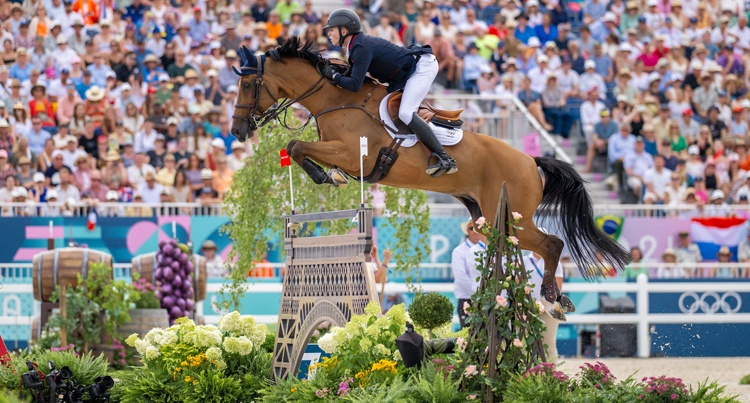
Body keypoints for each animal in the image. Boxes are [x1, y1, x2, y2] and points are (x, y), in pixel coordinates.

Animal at [232, 38, 632, 308]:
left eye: (248, 84)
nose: (237, 131)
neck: (335, 99)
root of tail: (530, 160)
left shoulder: (349, 151)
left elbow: (297, 146)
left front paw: (326, 177)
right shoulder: (339, 151)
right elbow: (296, 148)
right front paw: (328, 177)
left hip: (511, 215)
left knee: (552, 244)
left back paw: (552, 296)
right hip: (492, 218)